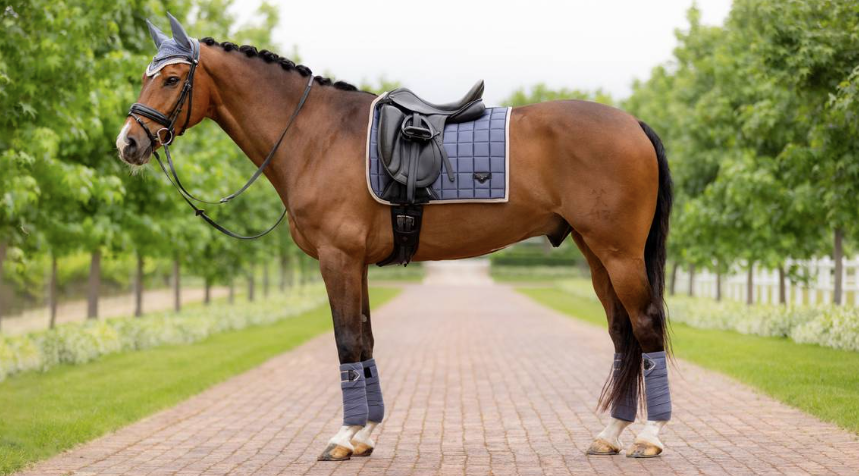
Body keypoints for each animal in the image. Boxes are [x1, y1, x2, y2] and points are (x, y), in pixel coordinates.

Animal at [116, 15, 674, 461]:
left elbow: (346, 342)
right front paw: (364, 435)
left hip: (619, 253)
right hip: (595, 253)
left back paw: (649, 436)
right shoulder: (355, 263)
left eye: (171, 78)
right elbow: (364, 340)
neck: (316, 135)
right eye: (146, 77)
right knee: (622, 335)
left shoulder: (337, 259)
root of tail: (633, 123)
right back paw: (610, 433)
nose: (128, 143)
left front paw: (343, 437)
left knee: (645, 326)